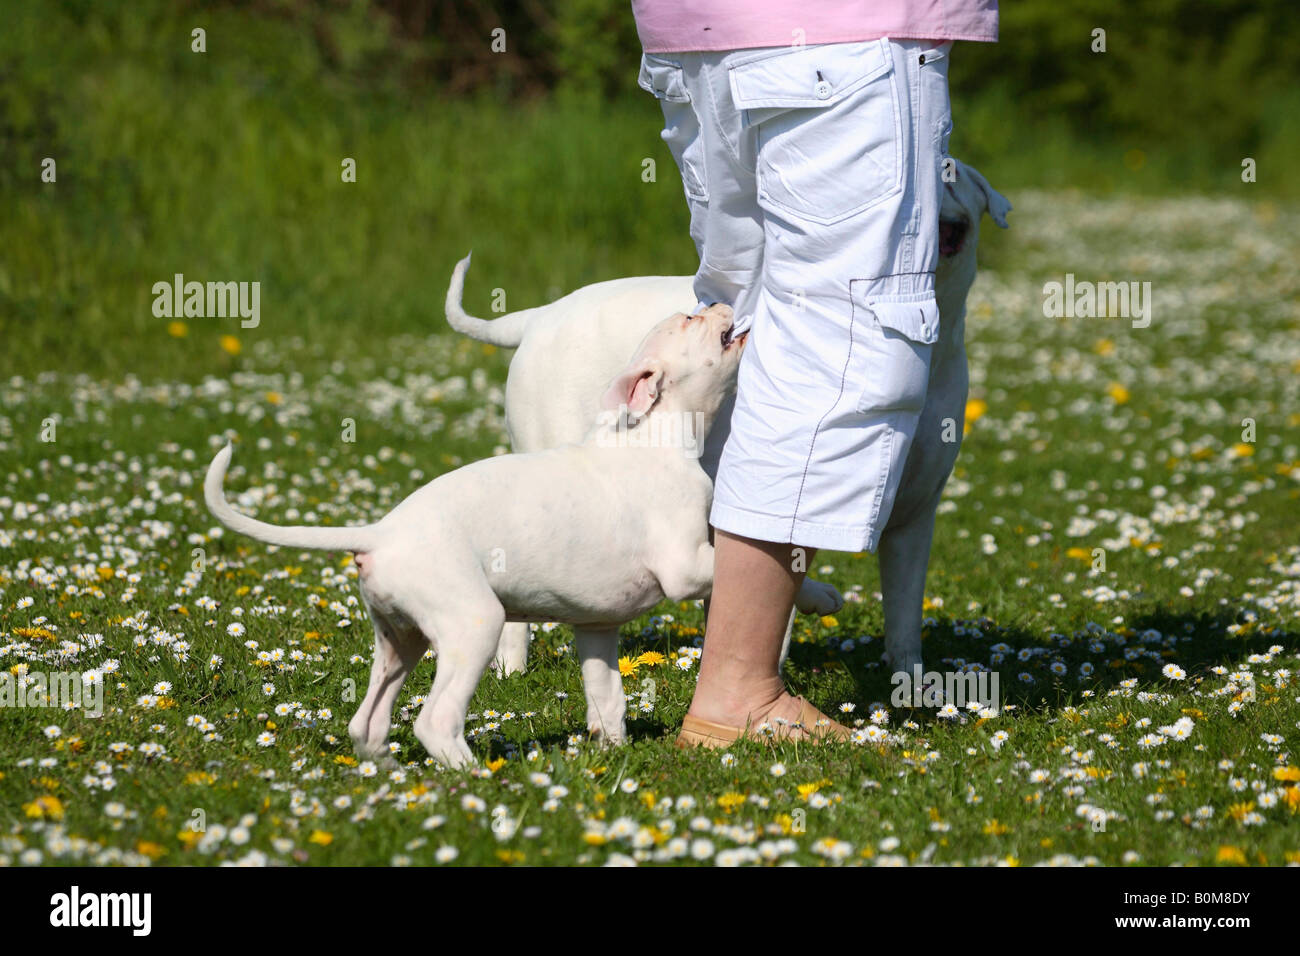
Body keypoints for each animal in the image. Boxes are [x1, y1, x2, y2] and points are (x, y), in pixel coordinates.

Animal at [205, 303, 754, 764]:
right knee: (435, 720)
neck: (654, 432)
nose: (719, 301)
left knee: (367, 722)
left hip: (400, 639)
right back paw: (475, 777)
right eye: (690, 318)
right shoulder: (683, 566)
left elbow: (606, 698)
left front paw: (611, 753)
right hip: (473, 625)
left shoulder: (596, 625)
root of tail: (379, 534)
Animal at [449, 158, 1013, 681]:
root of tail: (538, 317)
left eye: (950, 172)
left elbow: (903, 616)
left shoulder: (913, 516)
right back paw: (511, 668)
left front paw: (913, 686)